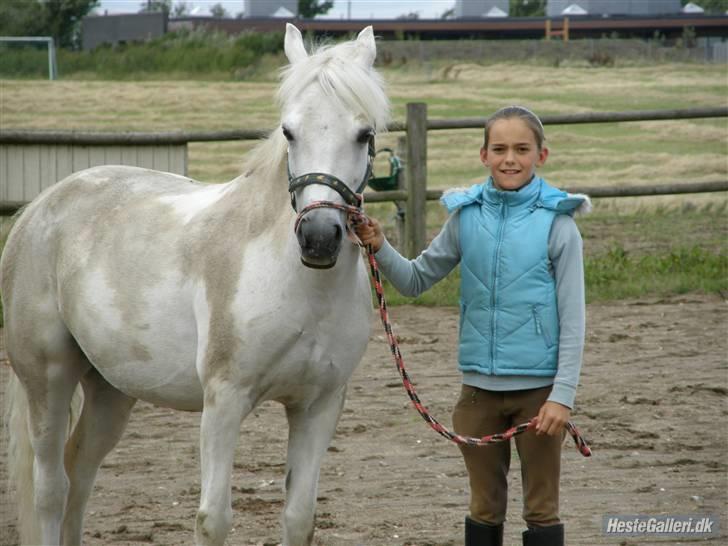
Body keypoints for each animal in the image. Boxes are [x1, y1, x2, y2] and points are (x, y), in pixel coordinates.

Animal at [2, 24, 390, 544]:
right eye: (289, 131)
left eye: (364, 134)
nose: (318, 237)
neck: (301, 288)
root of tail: (38, 208)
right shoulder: (224, 400)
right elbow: (214, 519)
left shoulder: (319, 406)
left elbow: (299, 517)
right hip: (48, 378)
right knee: (50, 489)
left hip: (110, 389)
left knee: (79, 470)